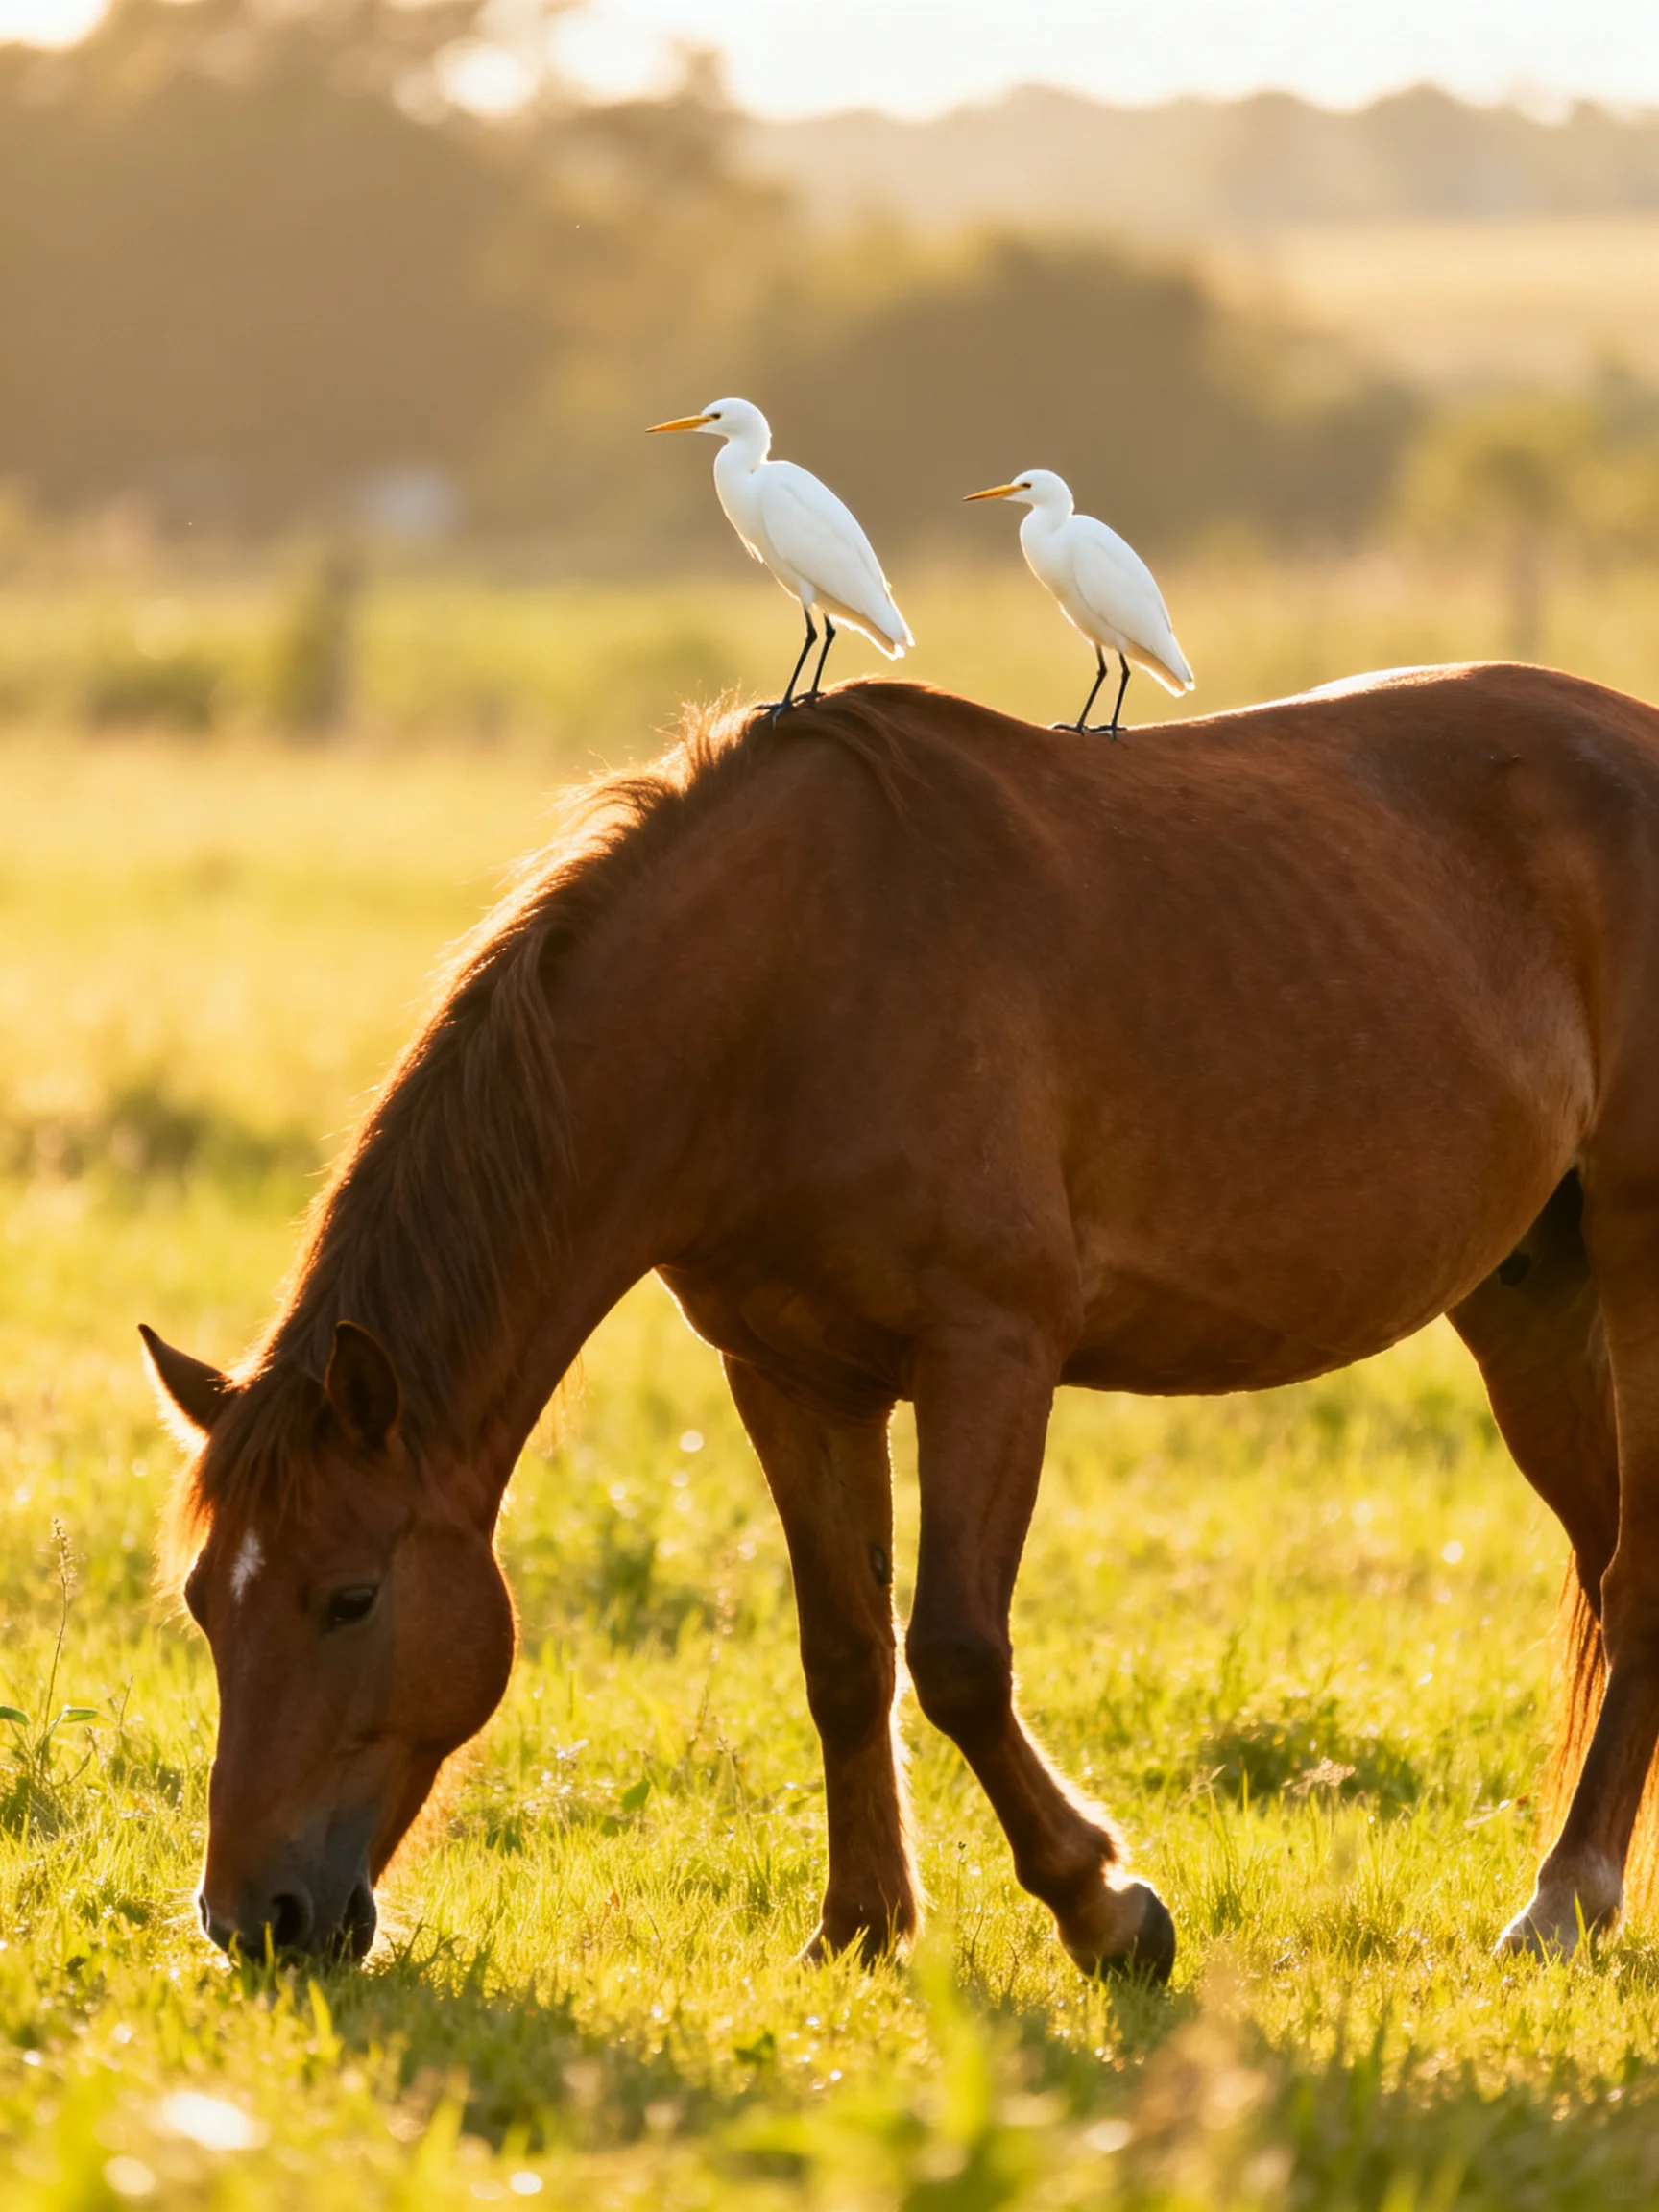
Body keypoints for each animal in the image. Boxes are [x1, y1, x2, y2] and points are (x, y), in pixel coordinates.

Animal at [144, 665, 1659, 1981]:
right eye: (206, 1605)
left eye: (351, 1596)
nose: (252, 1919)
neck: (783, 989)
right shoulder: (792, 1377)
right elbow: (844, 1652)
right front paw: (862, 1924)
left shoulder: (990, 1354)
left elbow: (957, 1655)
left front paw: (1107, 1910)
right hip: (1530, 1301)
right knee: (1604, 1561)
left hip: (1636, 1267)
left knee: (1637, 1571)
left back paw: (1563, 1903)